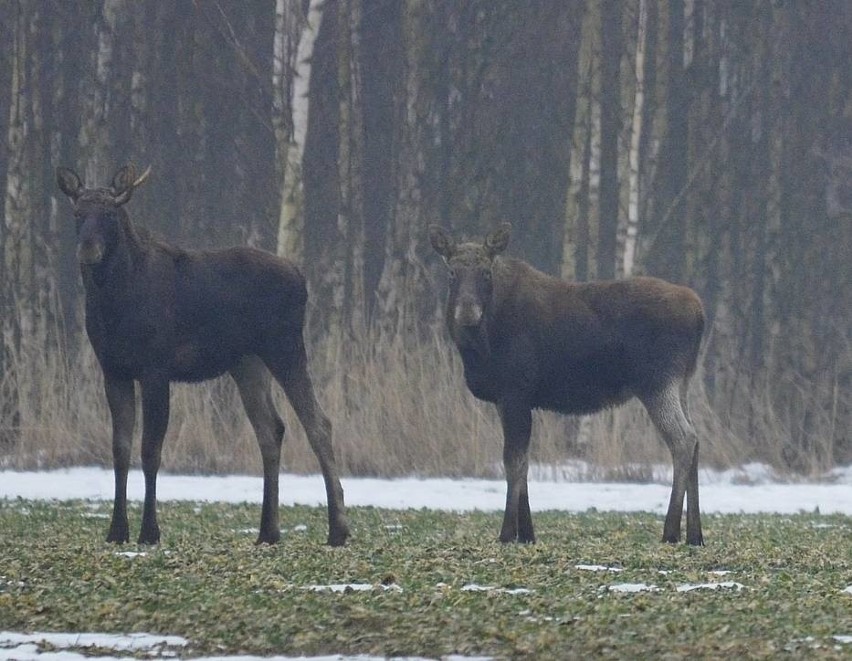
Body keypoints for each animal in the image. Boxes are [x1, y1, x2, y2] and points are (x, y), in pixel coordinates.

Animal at [58, 164, 350, 548]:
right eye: (78, 213)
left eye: (109, 214)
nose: (88, 248)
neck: (113, 305)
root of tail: (302, 278)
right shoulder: (113, 371)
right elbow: (119, 450)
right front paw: (116, 531)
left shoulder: (155, 369)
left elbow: (150, 451)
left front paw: (149, 532)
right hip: (246, 362)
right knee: (271, 428)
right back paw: (268, 532)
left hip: (284, 347)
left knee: (318, 423)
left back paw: (337, 529)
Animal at [432, 224, 704, 544]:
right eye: (452, 272)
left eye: (486, 272)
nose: (467, 312)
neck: (479, 348)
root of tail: (700, 313)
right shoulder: (508, 399)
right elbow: (524, 462)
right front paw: (527, 533)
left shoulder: (514, 393)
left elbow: (513, 461)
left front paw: (508, 533)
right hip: (682, 382)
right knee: (696, 439)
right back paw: (695, 535)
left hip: (657, 382)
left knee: (683, 439)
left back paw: (671, 531)